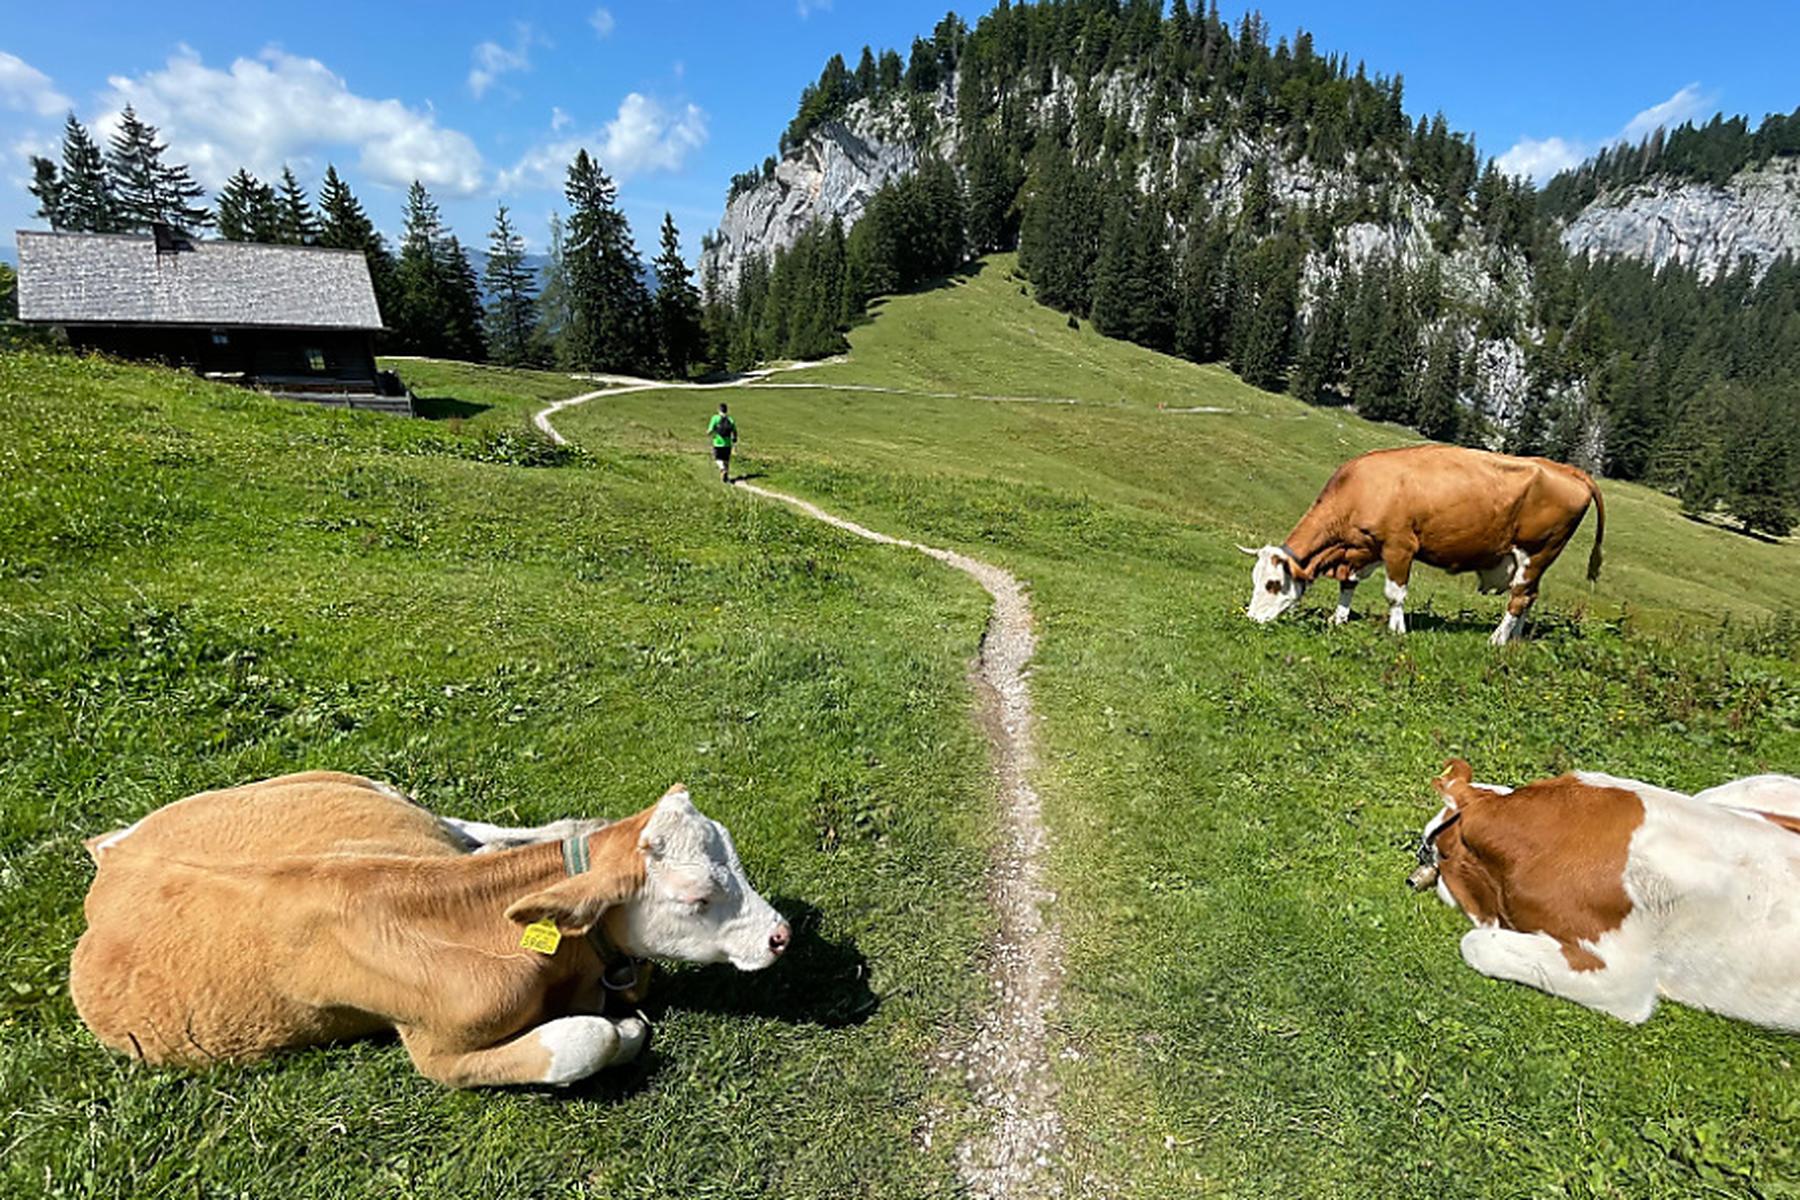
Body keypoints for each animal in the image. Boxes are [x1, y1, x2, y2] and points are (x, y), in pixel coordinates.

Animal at [72, 773, 788, 1093]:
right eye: (697, 897)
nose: (779, 935)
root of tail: (117, 854)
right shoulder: (438, 1053)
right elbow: (588, 1039)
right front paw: (628, 1031)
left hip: (380, 798)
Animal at [1238, 444, 1605, 647]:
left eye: (1273, 584)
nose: (1251, 618)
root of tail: (1569, 471)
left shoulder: (1399, 546)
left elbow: (1394, 593)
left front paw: (1397, 630)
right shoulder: (1361, 547)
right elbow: (1349, 582)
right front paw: (1338, 619)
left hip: (1536, 552)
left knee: (1518, 597)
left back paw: (1497, 639)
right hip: (1538, 560)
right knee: (1529, 597)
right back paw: (1514, 637)